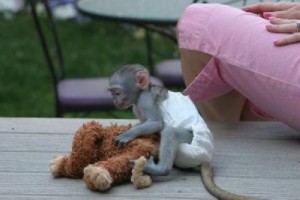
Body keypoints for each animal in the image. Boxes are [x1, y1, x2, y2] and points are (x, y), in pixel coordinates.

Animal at [108, 64, 255, 200]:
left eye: (117, 93)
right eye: (113, 93)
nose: (114, 100)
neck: (140, 94)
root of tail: (207, 157)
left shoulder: (145, 100)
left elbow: (156, 123)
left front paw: (128, 134)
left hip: (193, 145)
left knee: (169, 132)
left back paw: (160, 169)